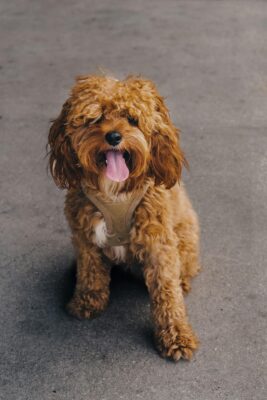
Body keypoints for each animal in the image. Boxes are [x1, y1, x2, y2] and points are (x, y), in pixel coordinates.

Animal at [47, 75, 201, 362]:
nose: (114, 136)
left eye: (132, 119)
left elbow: (167, 294)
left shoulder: (159, 244)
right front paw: (86, 301)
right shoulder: (85, 237)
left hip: (185, 239)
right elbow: (90, 271)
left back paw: (184, 280)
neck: (115, 191)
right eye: (95, 118)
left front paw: (176, 336)